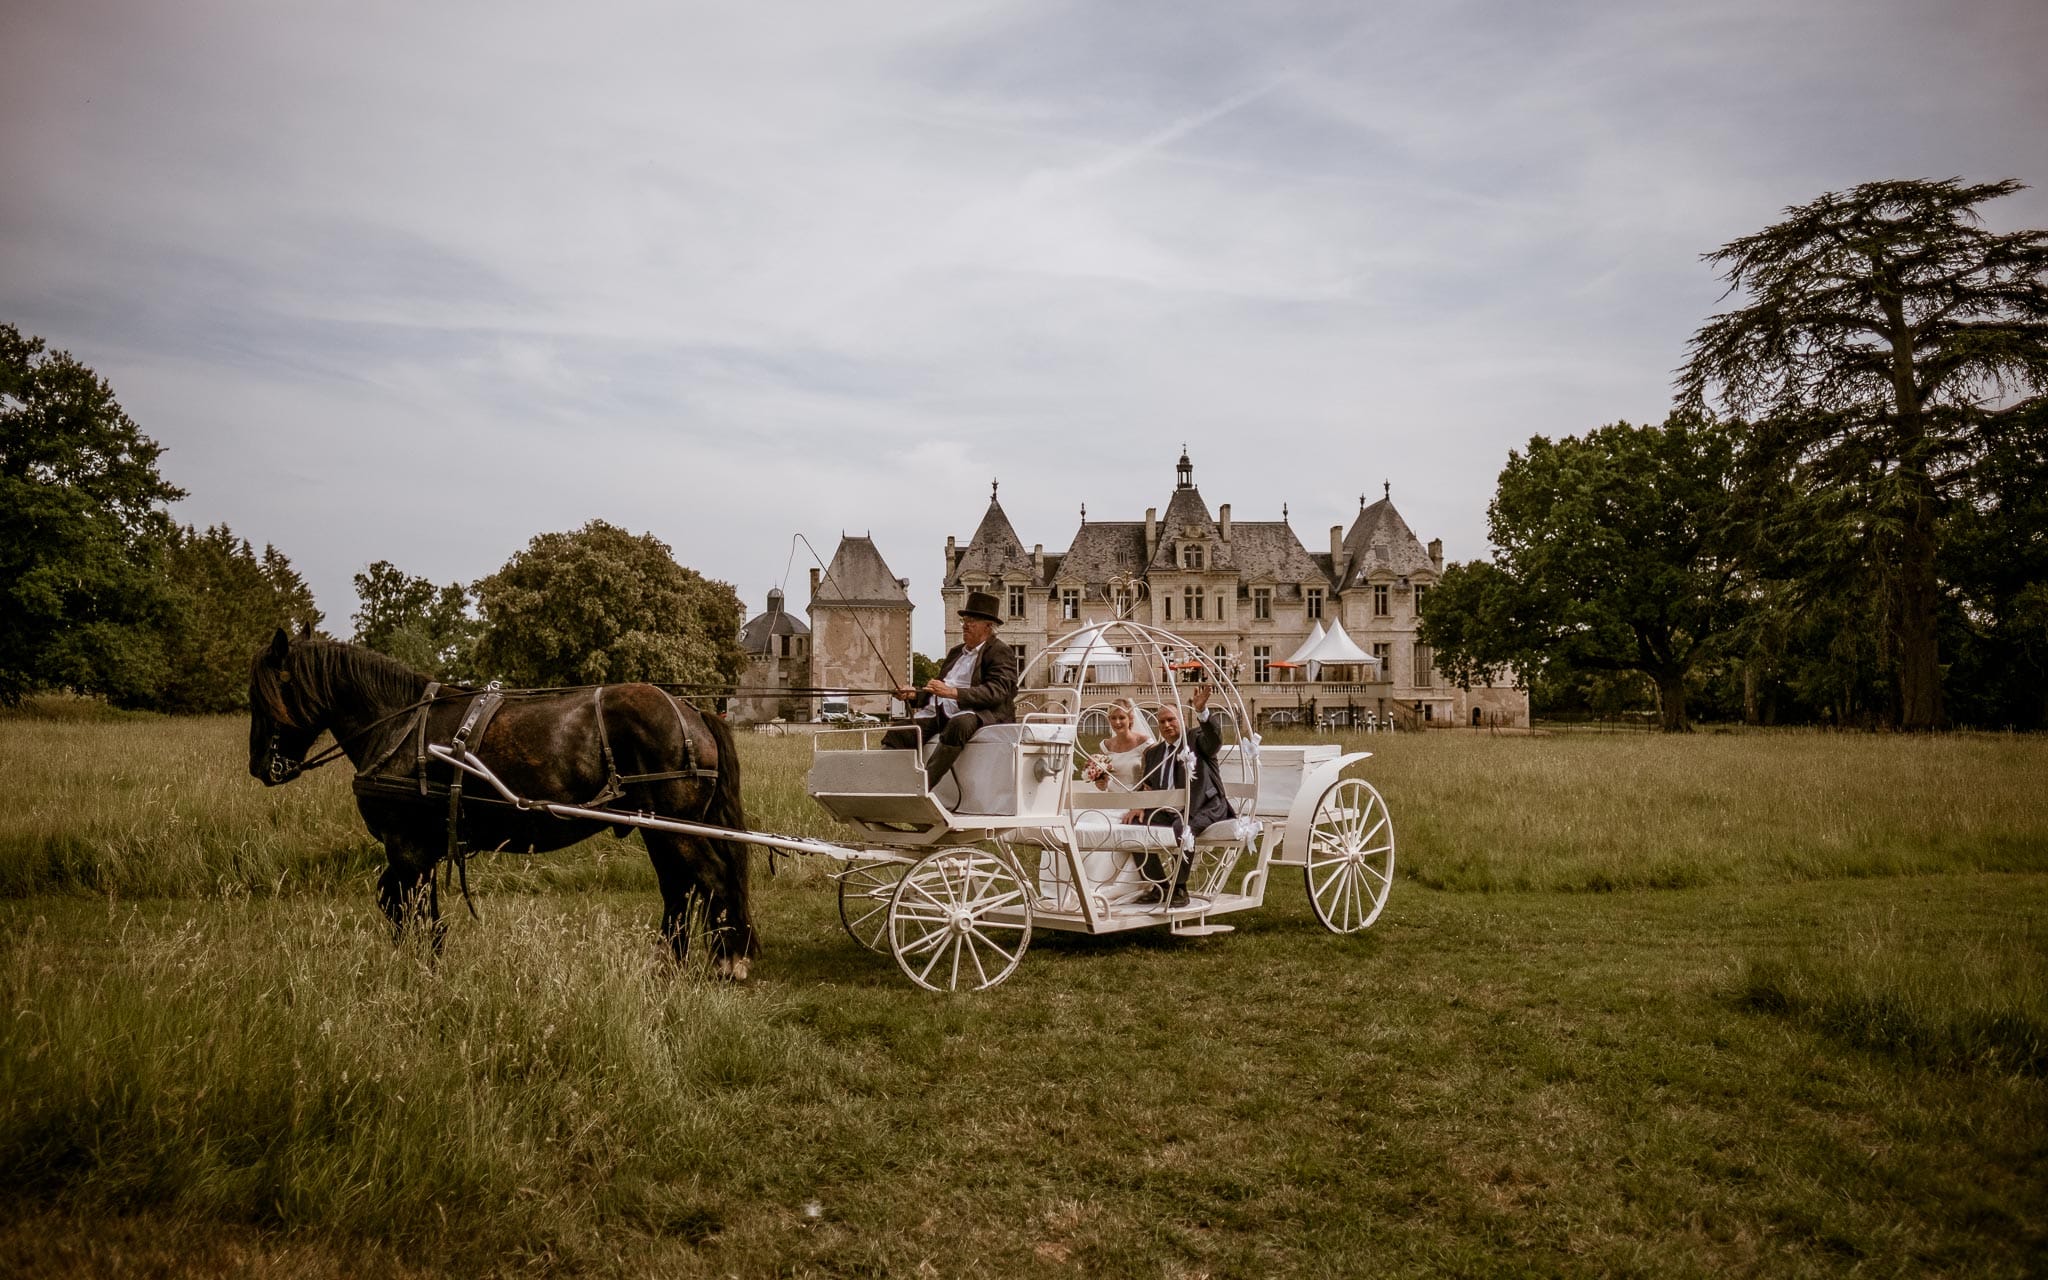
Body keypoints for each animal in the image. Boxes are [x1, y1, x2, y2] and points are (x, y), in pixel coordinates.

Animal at [245, 622, 761, 974]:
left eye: (262, 696)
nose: (260, 767)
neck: (398, 724)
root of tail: (693, 712)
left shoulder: (406, 845)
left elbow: (409, 906)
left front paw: (423, 969)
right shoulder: (421, 849)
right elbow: (401, 902)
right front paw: (425, 962)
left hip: (675, 828)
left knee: (711, 879)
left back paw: (725, 960)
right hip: (658, 828)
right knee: (679, 889)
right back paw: (669, 964)